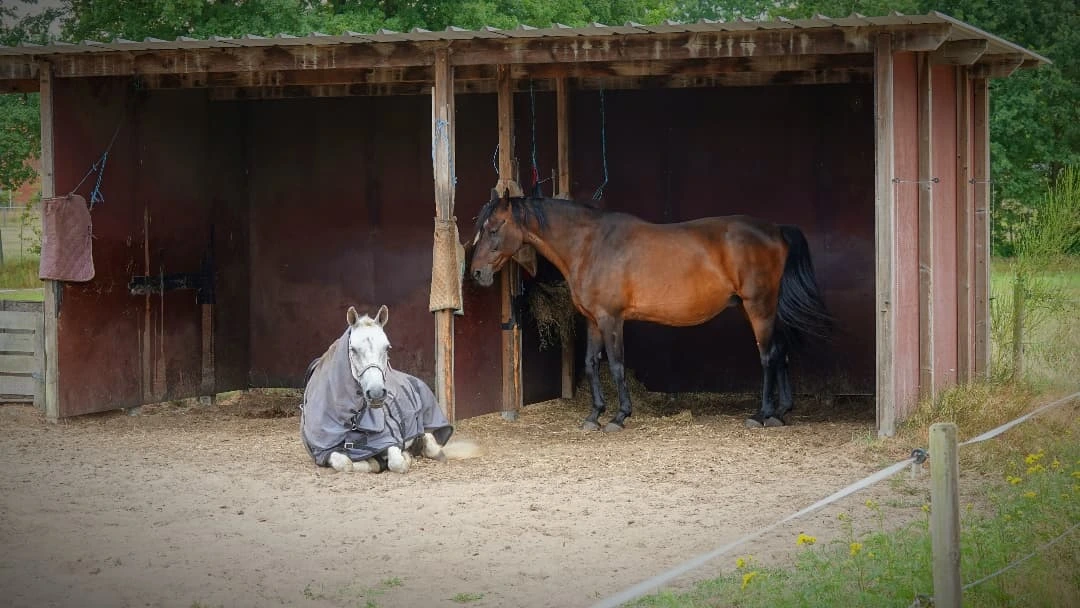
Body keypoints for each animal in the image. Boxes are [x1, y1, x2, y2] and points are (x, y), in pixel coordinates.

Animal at [300, 305, 457, 473]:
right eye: (353, 349)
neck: (349, 417)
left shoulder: (390, 439)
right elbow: (346, 464)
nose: (376, 393)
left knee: (430, 444)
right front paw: (375, 462)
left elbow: (396, 462)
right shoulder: (323, 451)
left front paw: (404, 458)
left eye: (387, 347)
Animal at [469, 189, 831, 432]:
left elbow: (616, 365)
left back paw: (761, 415)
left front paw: (619, 417)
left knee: (768, 356)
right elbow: (590, 364)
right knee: (781, 352)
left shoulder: (612, 319)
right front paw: (594, 416)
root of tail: (776, 229)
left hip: (759, 307)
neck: (590, 245)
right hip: (761, 308)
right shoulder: (593, 320)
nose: (476, 273)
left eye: (494, 228)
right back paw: (780, 412)